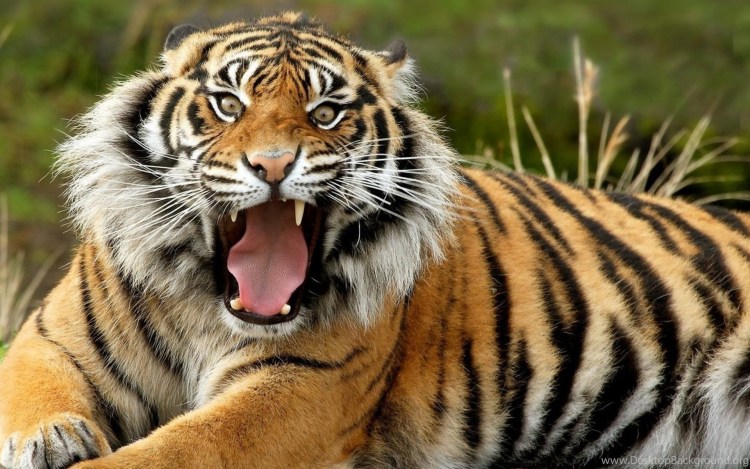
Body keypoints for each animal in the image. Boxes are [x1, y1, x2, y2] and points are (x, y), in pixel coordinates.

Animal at [1, 10, 750, 469]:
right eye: (229, 104)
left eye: (327, 112)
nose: (272, 164)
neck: (206, 305)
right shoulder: (50, 339)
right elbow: (31, 388)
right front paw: (51, 437)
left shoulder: (298, 390)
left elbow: (173, 450)